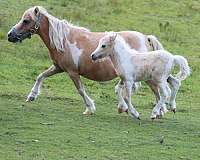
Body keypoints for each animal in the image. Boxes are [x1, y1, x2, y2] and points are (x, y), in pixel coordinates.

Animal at [7, 5, 165, 116]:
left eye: (26, 20)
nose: (10, 35)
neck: (64, 41)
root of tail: (145, 37)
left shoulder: (72, 72)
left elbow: (81, 90)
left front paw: (90, 108)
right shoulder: (58, 67)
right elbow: (41, 76)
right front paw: (32, 96)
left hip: (146, 76)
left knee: (156, 91)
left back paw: (157, 111)